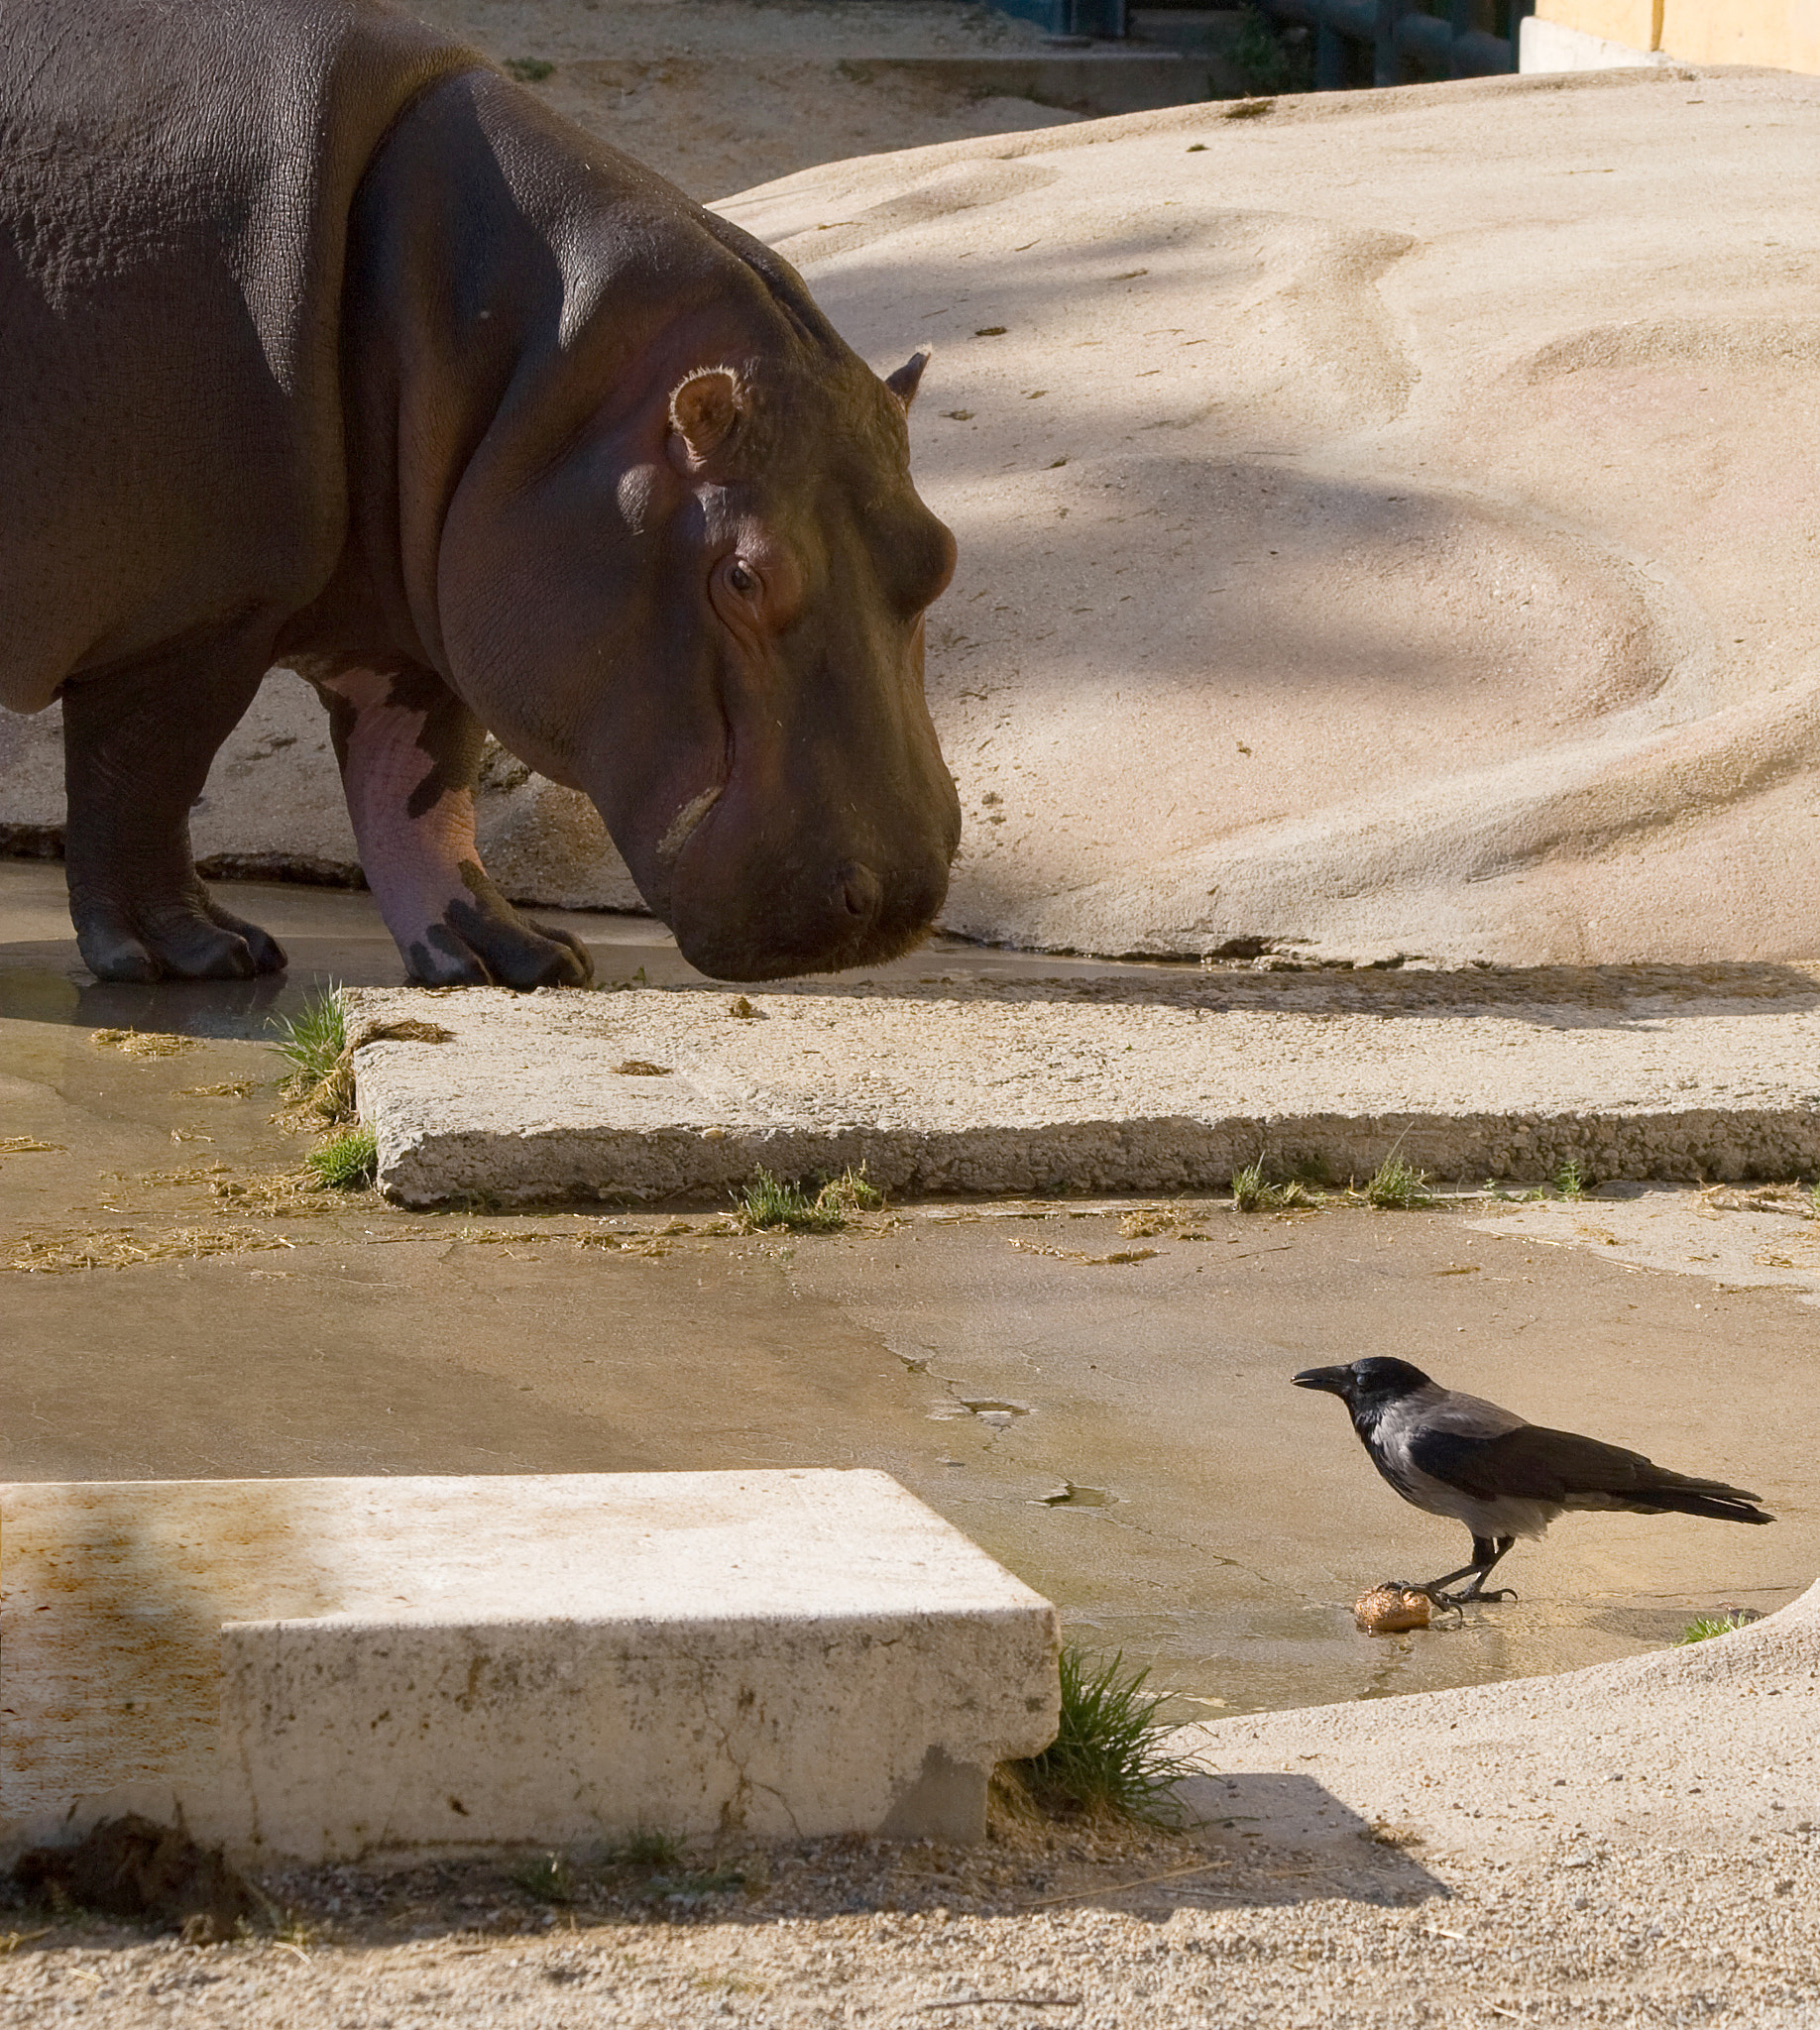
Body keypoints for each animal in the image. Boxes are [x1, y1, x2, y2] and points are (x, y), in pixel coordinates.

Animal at [0, 0, 960, 985]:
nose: (900, 901)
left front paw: (513, 958)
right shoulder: (193, 614)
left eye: (942, 555)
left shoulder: (420, 616)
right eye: (740, 577)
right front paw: (197, 954)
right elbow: (144, 779)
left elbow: (419, 789)